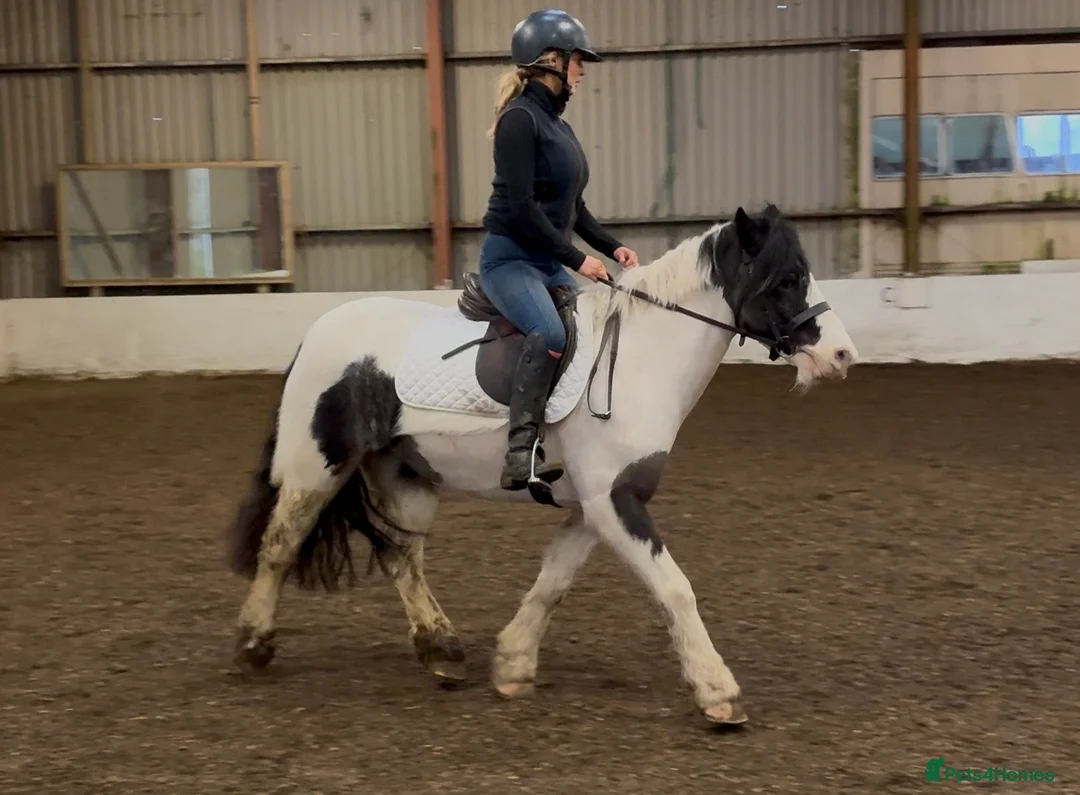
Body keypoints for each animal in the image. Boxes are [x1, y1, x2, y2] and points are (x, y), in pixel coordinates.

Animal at [225, 203, 858, 727]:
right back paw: (254, 644)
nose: (842, 356)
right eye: (786, 278)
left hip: (407, 476)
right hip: (316, 469)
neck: (642, 361)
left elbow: (553, 582)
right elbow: (675, 589)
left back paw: (440, 650)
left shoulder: (593, 507)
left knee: (401, 556)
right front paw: (717, 692)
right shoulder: (614, 502)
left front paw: (512, 665)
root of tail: (318, 333)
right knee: (280, 545)